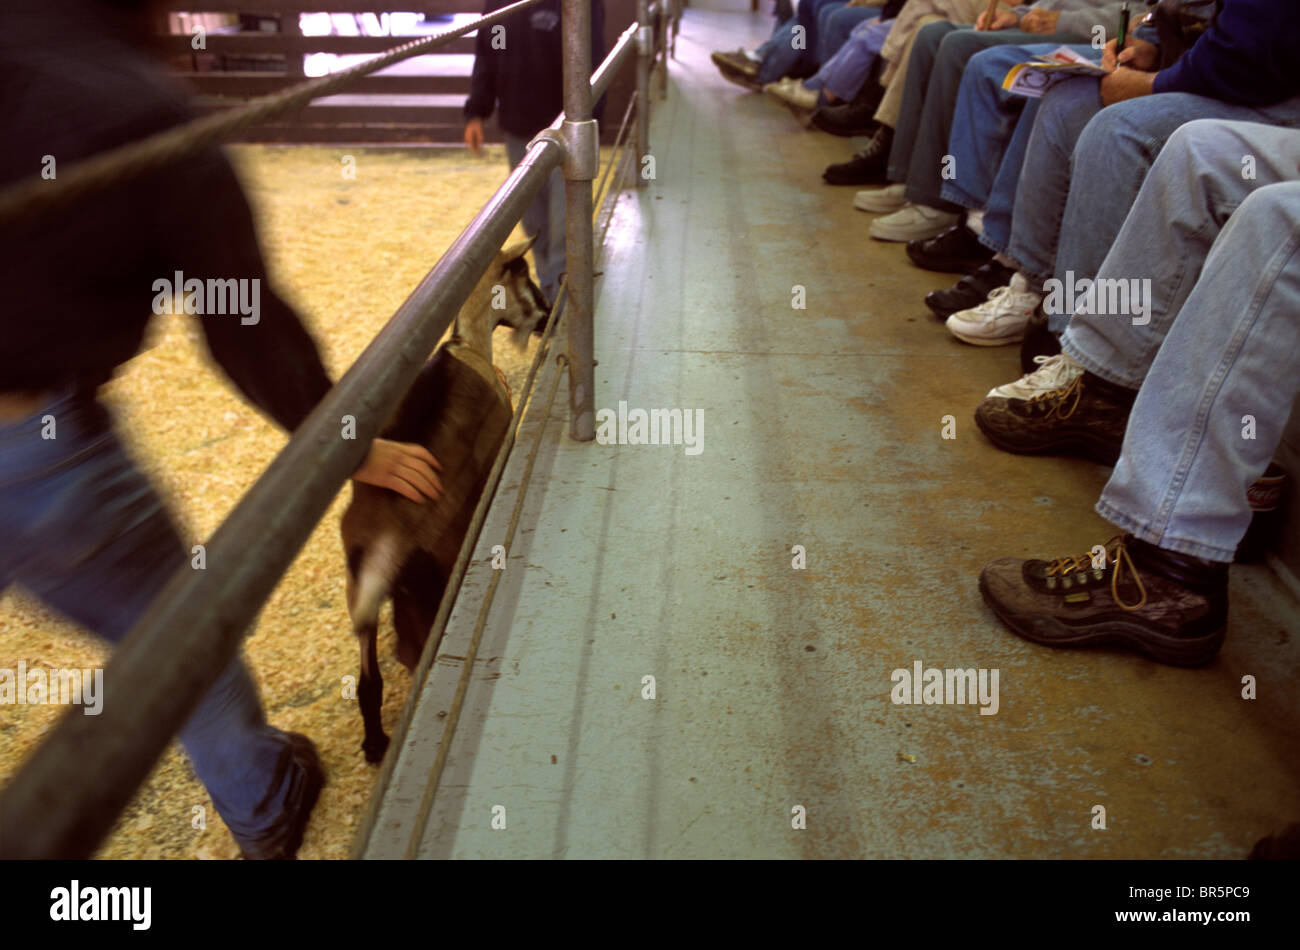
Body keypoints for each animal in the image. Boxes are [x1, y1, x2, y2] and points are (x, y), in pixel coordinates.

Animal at [340, 239, 548, 764]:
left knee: (369, 682)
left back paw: (376, 745)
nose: (547, 314)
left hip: (360, 600)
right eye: (527, 279)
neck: (468, 345)